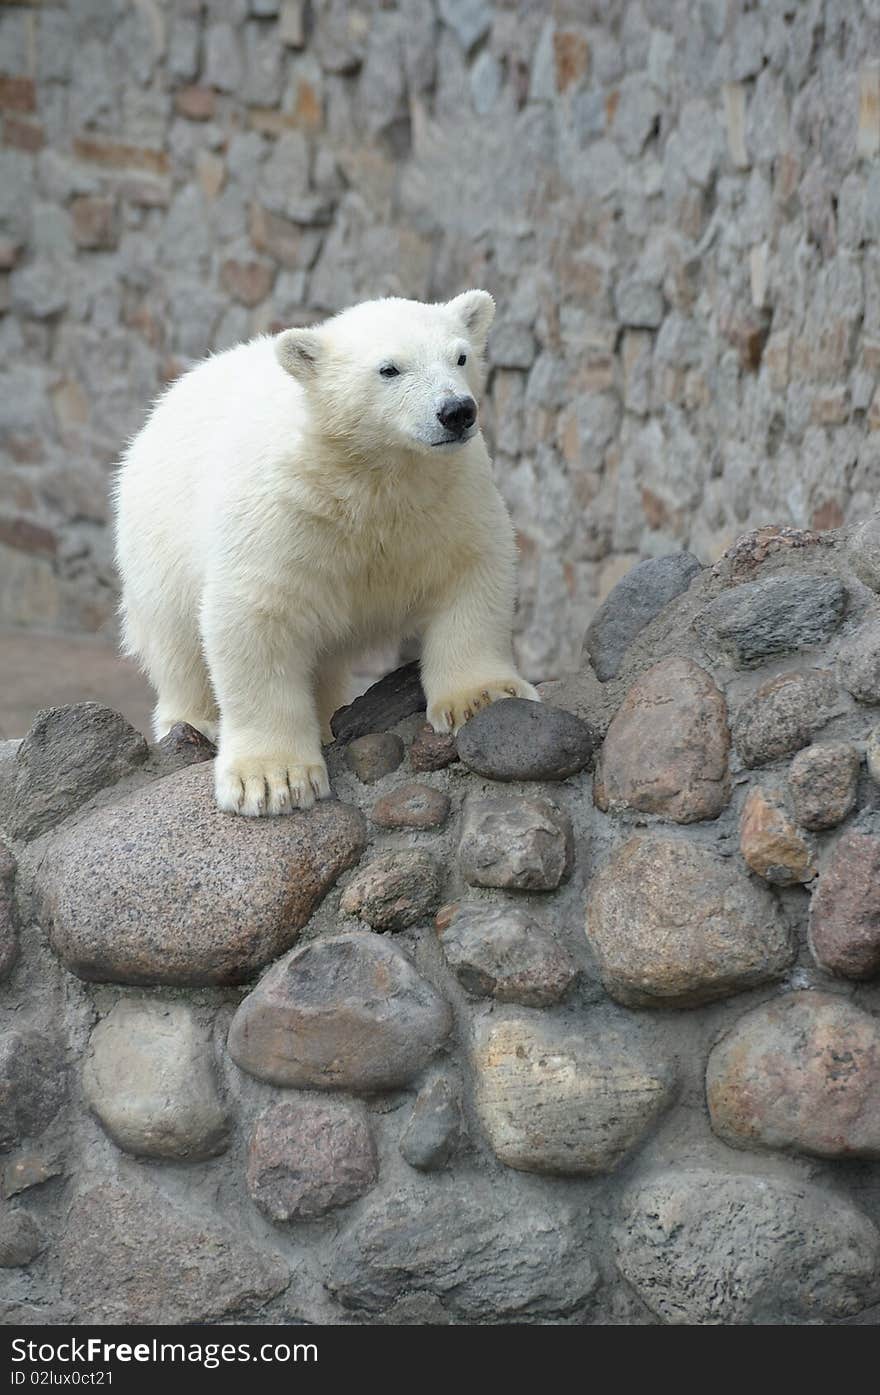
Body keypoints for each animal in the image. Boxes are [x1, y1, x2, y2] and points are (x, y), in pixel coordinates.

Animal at [113, 294, 541, 814]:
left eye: (460, 357)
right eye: (389, 369)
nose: (456, 411)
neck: (369, 478)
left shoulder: (449, 498)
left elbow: (471, 572)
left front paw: (480, 697)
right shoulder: (281, 516)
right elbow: (256, 616)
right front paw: (273, 780)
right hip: (157, 542)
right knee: (175, 643)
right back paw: (195, 723)